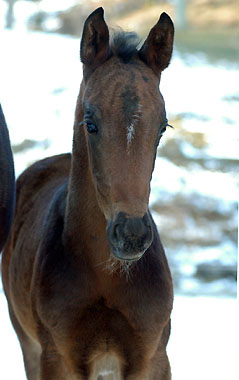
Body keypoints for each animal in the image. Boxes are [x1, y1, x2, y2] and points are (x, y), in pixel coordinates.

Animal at [1, 6, 175, 380]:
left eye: (162, 127)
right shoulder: (56, 358)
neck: (108, 279)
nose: (131, 235)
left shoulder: (153, 357)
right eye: (90, 122)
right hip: (27, 343)